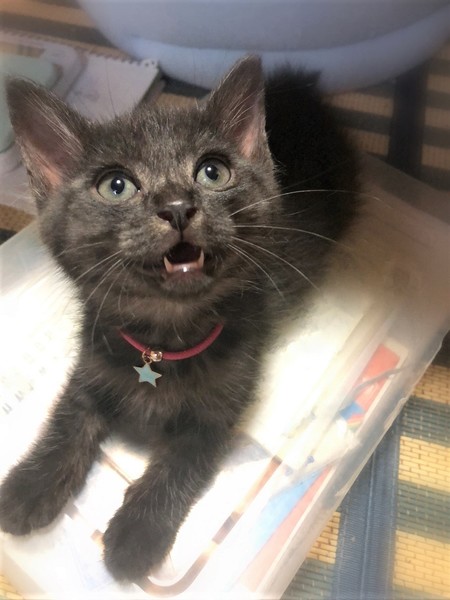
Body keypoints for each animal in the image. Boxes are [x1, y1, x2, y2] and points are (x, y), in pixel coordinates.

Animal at [0, 56, 359, 581]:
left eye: (212, 172)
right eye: (116, 185)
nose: (176, 206)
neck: (162, 341)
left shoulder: (219, 406)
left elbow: (179, 465)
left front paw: (136, 534)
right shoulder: (93, 360)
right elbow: (68, 419)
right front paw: (30, 486)